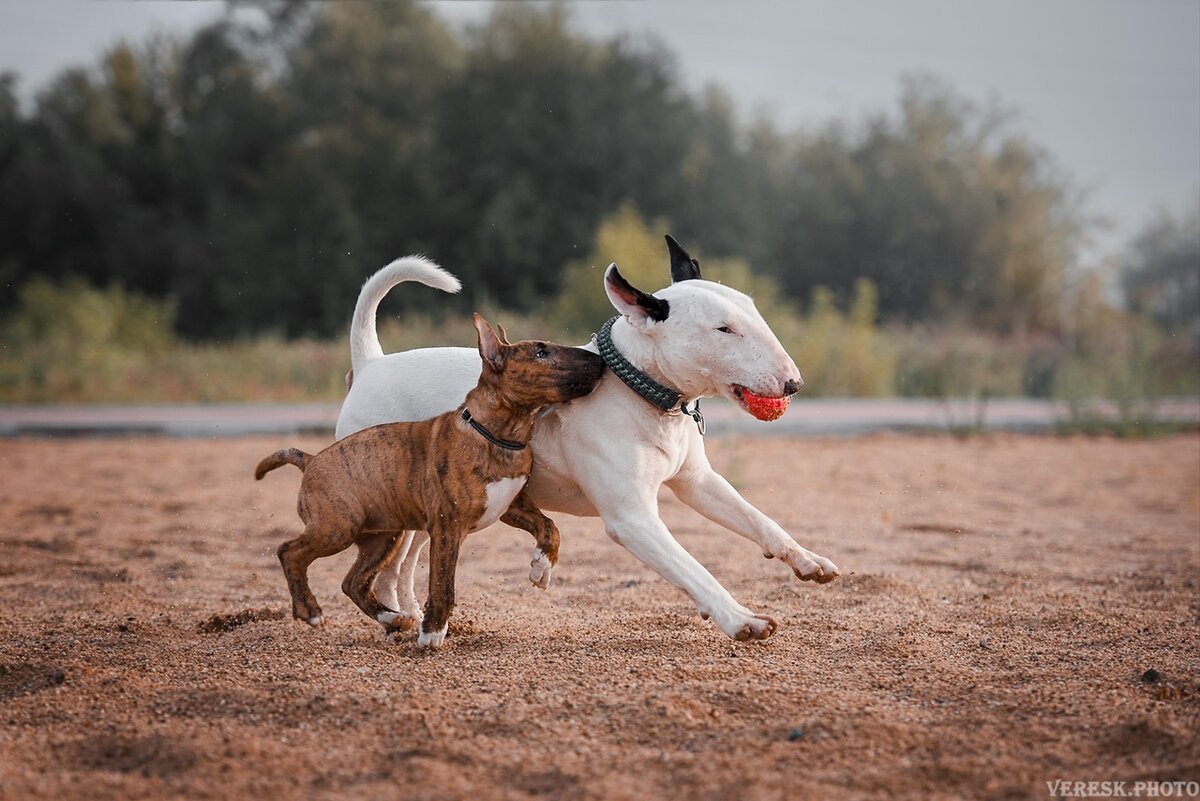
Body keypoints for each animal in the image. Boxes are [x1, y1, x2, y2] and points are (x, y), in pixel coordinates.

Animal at [258, 316, 604, 647]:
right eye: (541, 352)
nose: (598, 361)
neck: (494, 434)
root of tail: (311, 460)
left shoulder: (510, 505)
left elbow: (549, 526)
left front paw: (542, 567)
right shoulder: (447, 527)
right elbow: (442, 585)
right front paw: (433, 632)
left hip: (383, 536)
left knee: (353, 583)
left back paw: (392, 618)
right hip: (338, 527)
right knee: (290, 552)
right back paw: (310, 611)